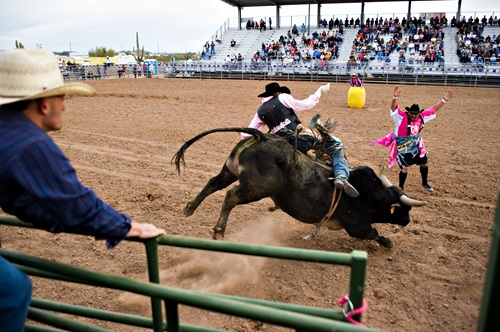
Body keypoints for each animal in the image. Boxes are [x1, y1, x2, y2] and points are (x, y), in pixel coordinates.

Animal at [173, 128, 426, 248]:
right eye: (405, 209)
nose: (408, 221)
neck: (371, 196)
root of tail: (263, 137)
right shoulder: (357, 227)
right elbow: (373, 233)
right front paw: (388, 242)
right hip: (258, 187)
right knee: (231, 196)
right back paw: (218, 230)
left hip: (230, 171)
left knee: (212, 184)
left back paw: (189, 208)